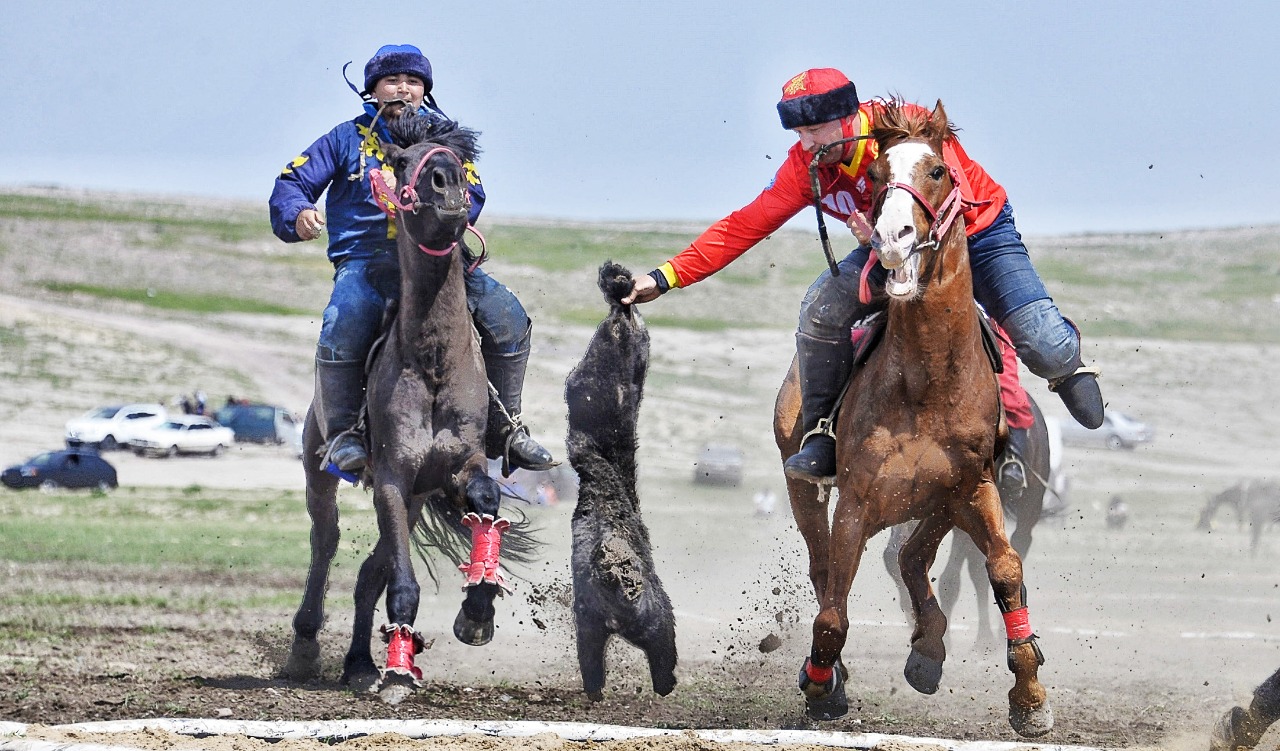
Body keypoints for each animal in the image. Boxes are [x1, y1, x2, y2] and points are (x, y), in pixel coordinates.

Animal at [768, 98, 1049, 736]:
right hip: (808, 490)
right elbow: (832, 609)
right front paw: (822, 687)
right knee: (828, 569)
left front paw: (1030, 696)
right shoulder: (856, 501)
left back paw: (928, 651)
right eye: (875, 176)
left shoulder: (974, 489)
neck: (927, 383)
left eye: (939, 171)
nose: (892, 238)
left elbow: (1005, 569)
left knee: (912, 557)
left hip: (937, 502)